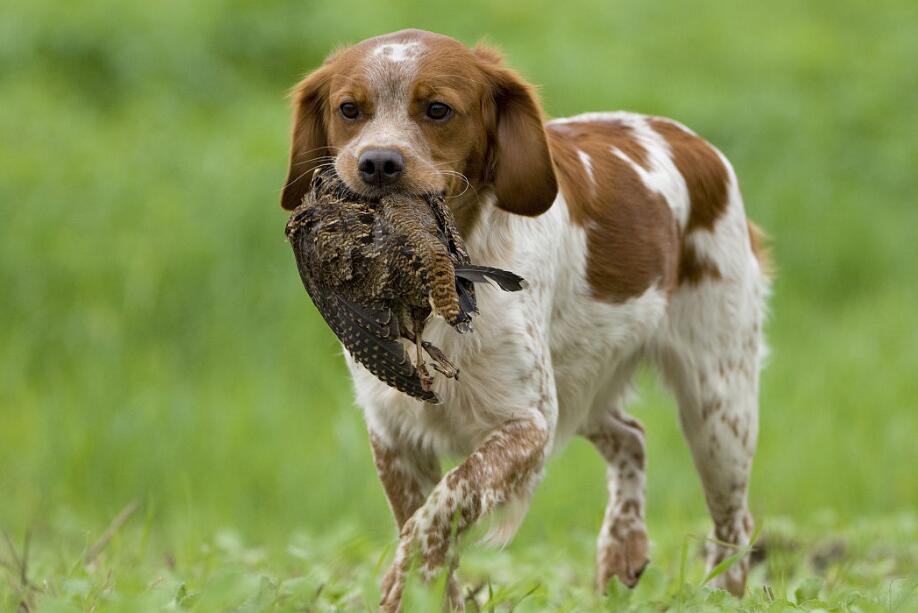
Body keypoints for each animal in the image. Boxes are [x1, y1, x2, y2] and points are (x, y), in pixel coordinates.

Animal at [280, 29, 768, 612]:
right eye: (349, 109)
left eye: (438, 109)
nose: (377, 163)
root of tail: (695, 143)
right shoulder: (395, 433)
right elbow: (426, 526)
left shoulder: (526, 422)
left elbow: (445, 504)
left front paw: (401, 581)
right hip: (584, 381)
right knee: (630, 435)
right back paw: (621, 547)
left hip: (717, 407)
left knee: (733, 526)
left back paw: (722, 593)